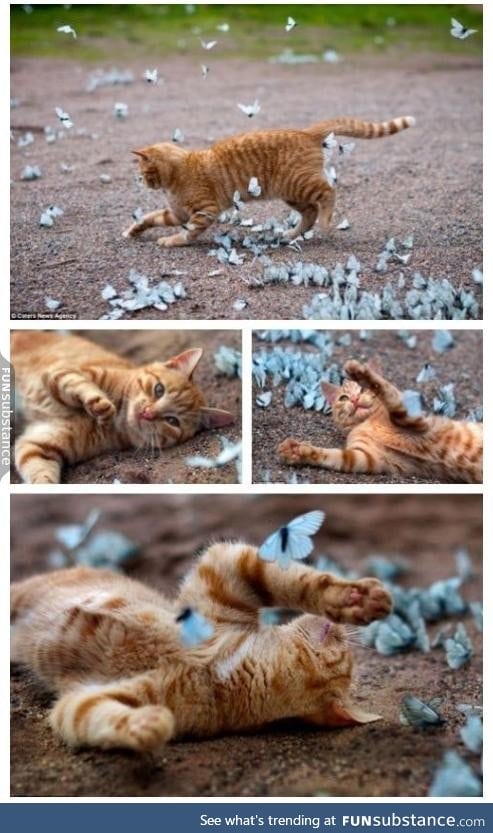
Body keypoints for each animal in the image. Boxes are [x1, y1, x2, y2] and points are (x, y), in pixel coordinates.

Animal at [10, 544, 392, 752]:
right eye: (344, 646)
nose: (341, 630)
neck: (219, 670)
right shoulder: (223, 571)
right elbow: (296, 581)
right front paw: (353, 598)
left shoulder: (83, 699)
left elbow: (95, 717)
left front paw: (146, 726)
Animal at [12, 332, 234, 484]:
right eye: (159, 389)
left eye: (172, 421)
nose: (147, 413)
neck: (118, 420)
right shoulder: (59, 372)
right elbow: (79, 383)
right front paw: (100, 405)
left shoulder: (40, 445)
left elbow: (41, 473)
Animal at [122, 114, 412, 245]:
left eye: (144, 172)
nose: (140, 181)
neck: (178, 174)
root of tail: (305, 132)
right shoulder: (177, 213)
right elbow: (149, 218)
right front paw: (133, 231)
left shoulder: (204, 211)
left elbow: (188, 233)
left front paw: (173, 241)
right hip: (292, 194)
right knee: (309, 213)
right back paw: (291, 233)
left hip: (301, 184)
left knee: (328, 194)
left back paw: (326, 221)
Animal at [278, 360, 482, 484]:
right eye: (343, 398)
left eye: (361, 390)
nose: (354, 399)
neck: (369, 422)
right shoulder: (368, 457)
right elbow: (334, 456)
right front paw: (298, 451)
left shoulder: (416, 421)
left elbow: (385, 389)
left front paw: (362, 374)